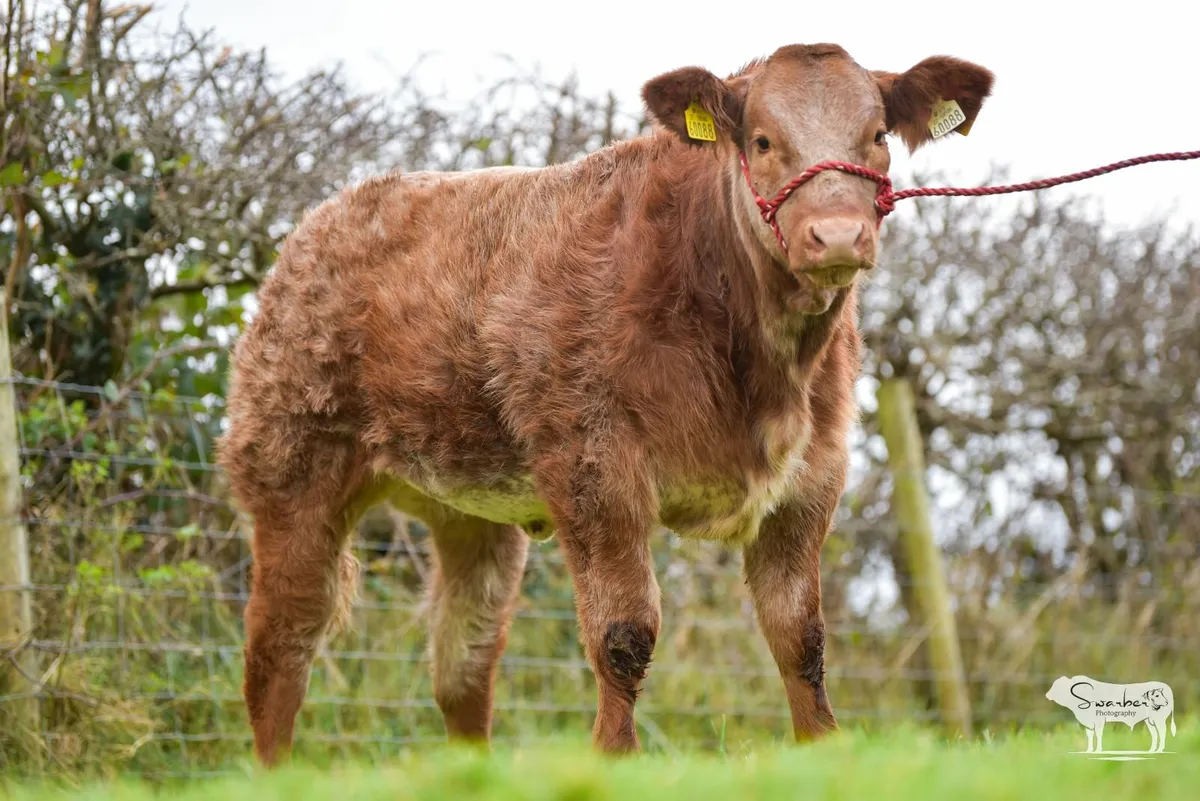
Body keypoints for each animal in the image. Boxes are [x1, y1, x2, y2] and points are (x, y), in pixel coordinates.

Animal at [216, 42, 994, 764]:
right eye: (763, 141)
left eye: (878, 135)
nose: (836, 234)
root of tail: (321, 222)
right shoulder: (593, 462)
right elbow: (624, 634)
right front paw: (615, 760)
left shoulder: (813, 475)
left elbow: (799, 636)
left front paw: (821, 750)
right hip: (292, 474)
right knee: (280, 649)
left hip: (471, 514)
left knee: (462, 662)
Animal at [1046, 675, 1178, 753]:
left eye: (1058, 686)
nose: (1047, 694)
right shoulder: (1089, 723)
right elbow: (1090, 735)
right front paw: (1089, 751)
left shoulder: (1099, 721)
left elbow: (1098, 735)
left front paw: (1098, 750)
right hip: (1149, 720)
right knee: (1155, 734)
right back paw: (1152, 750)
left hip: (1159, 719)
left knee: (1162, 732)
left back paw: (1159, 750)